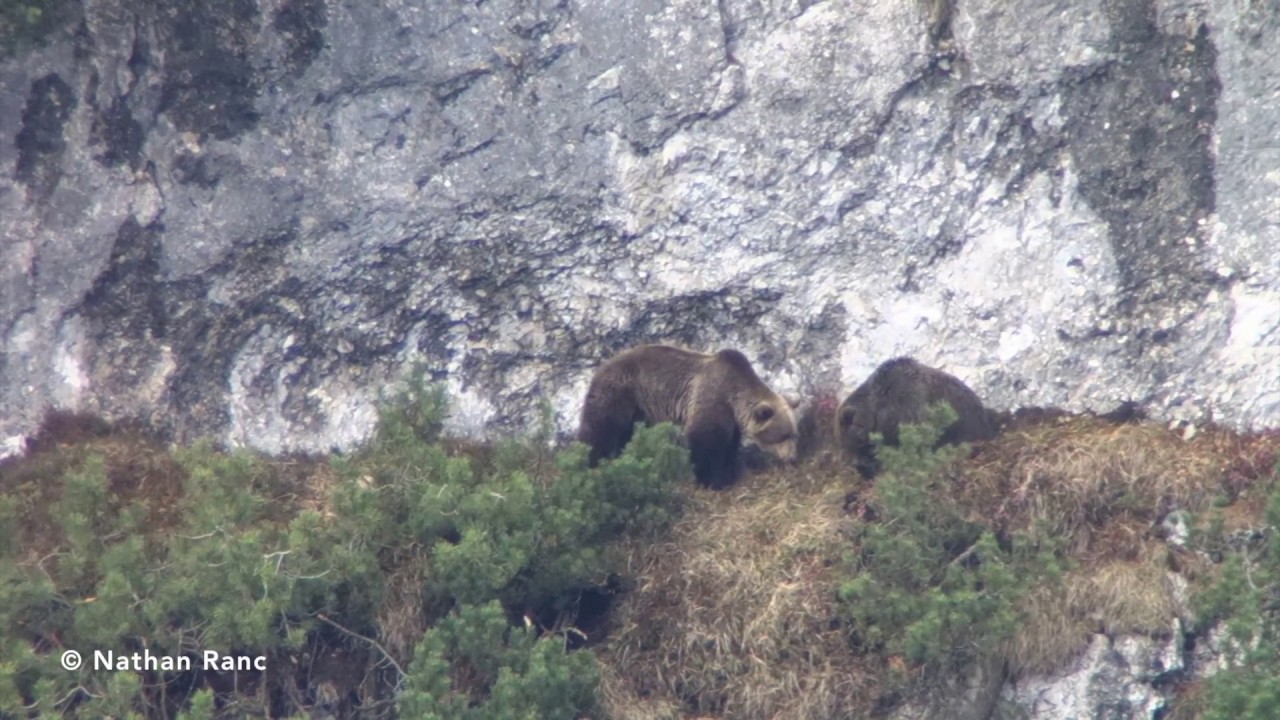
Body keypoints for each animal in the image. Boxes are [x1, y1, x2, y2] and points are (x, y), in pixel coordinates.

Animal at [577, 344, 799, 488]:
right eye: (783, 435)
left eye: (793, 434)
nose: (792, 458)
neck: (735, 398)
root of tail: (600, 368)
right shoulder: (711, 397)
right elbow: (705, 439)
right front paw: (711, 480)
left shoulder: (731, 418)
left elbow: (729, 444)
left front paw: (729, 471)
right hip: (618, 393)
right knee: (600, 431)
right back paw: (590, 462)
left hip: (637, 411)